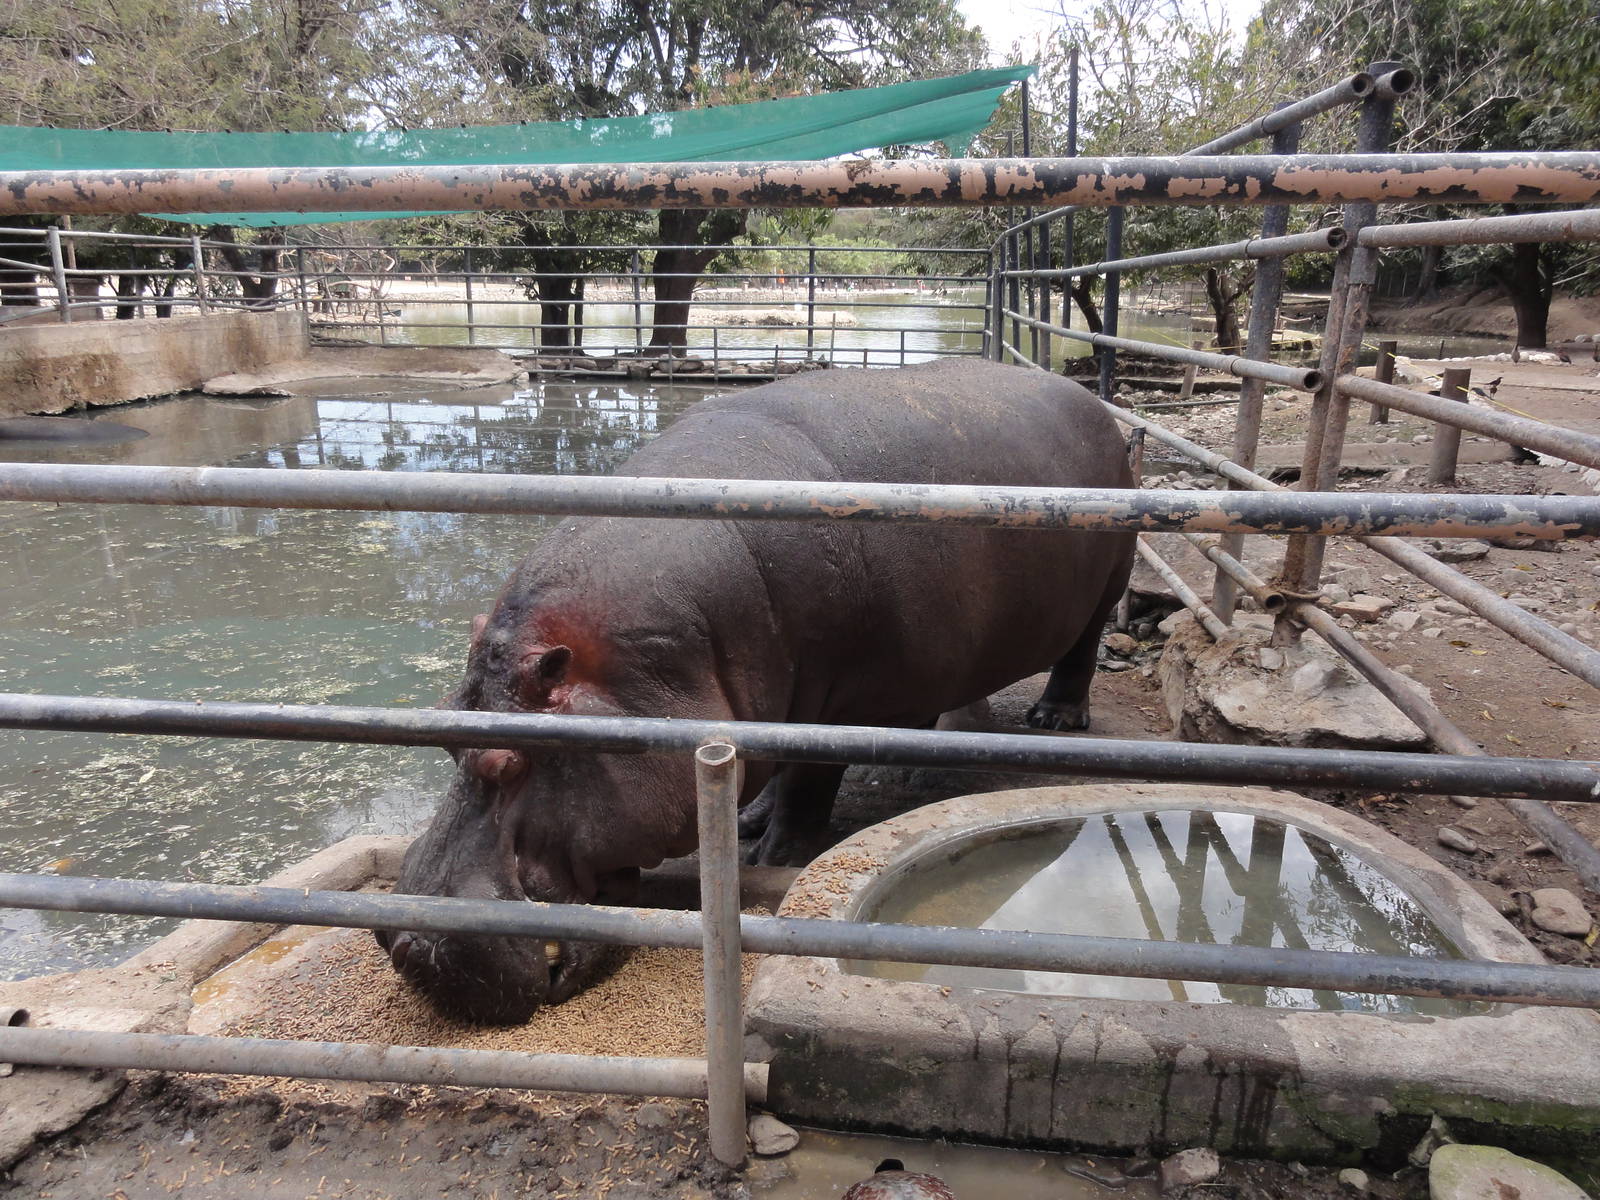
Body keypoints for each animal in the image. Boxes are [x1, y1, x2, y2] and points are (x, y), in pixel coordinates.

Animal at [378, 358, 1135, 1023]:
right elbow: (769, 769)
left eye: (510, 760)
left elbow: (808, 782)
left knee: (1079, 655)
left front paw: (775, 857)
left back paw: (1052, 719)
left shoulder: (837, 709)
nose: (405, 941)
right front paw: (747, 824)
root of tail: (1087, 398)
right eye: (444, 730)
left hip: (1106, 587)